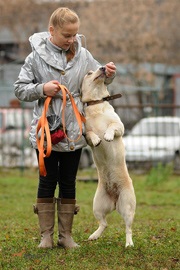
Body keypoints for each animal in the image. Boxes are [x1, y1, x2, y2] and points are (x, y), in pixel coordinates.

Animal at [81, 67, 136, 247]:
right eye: (89, 73)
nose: (104, 67)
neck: (96, 104)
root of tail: (114, 200)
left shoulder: (120, 126)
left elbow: (111, 127)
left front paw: (107, 136)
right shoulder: (84, 134)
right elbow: (90, 134)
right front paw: (97, 139)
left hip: (127, 206)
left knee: (128, 228)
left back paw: (129, 243)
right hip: (97, 205)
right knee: (104, 223)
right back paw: (94, 235)